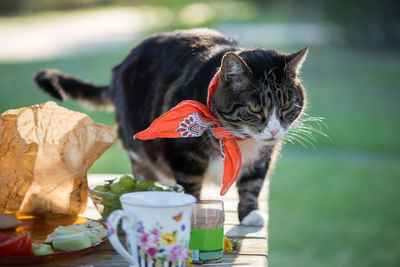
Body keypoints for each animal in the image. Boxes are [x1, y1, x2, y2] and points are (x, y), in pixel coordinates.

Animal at [35, 28, 310, 226]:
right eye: (254, 108)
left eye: (287, 106)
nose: (274, 130)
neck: (236, 137)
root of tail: (120, 67)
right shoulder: (182, 154)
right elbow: (190, 186)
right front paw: (190, 209)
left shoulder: (263, 155)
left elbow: (253, 183)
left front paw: (250, 214)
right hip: (137, 145)